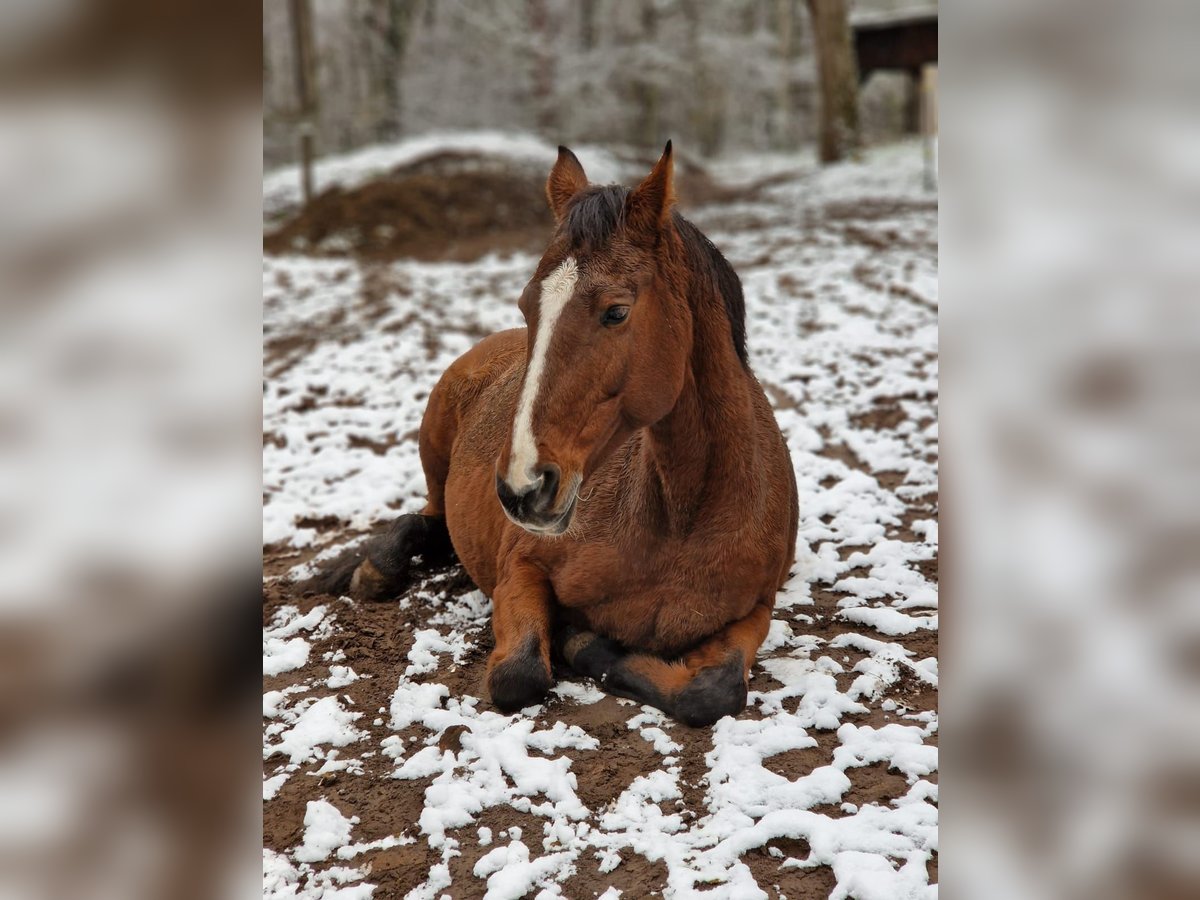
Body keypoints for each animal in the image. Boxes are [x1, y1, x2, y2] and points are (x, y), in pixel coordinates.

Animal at [314, 146, 796, 724]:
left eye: (616, 311)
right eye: (528, 306)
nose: (521, 487)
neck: (682, 519)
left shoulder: (758, 607)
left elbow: (714, 691)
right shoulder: (522, 566)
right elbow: (519, 673)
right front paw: (576, 638)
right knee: (424, 519)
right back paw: (375, 570)